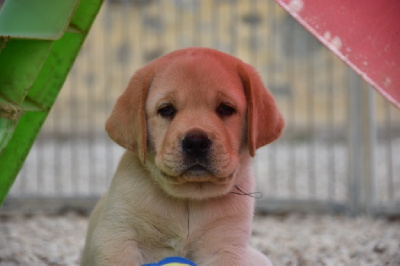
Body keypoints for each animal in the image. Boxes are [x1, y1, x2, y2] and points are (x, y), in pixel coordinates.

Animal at [80, 47, 284, 266]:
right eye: (166, 110)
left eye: (226, 109)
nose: (196, 142)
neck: (188, 199)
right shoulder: (117, 237)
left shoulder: (226, 246)